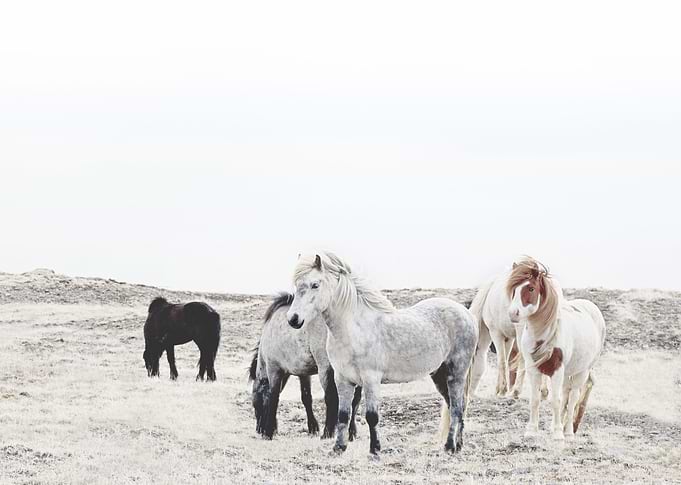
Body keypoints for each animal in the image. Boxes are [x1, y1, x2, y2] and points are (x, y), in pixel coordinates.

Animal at [249, 293, 362, 439]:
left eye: (255, 403)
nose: (259, 429)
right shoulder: (303, 373)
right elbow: (306, 397)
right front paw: (313, 427)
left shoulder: (274, 369)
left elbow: (273, 397)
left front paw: (268, 432)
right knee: (355, 399)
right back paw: (350, 432)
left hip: (326, 368)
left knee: (332, 397)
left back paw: (328, 433)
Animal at [287, 252, 478, 455]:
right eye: (296, 285)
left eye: (315, 284)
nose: (293, 319)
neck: (353, 329)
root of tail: (467, 314)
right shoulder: (342, 379)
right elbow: (343, 415)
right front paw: (339, 447)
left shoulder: (371, 379)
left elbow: (372, 416)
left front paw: (375, 449)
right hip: (439, 375)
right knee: (456, 406)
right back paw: (459, 445)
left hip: (456, 374)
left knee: (456, 408)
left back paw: (449, 446)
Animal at [469, 263, 553, 399]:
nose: (469, 393)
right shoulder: (507, 337)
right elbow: (506, 359)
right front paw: (500, 389)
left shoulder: (496, 332)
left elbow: (502, 360)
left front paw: (503, 390)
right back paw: (543, 392)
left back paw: (517, 390)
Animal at [507, 257, 605, 439]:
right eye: (514, 289)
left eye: (531, 288)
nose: (513, 313)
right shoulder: (534, 369)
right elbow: (535, 399)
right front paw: (531, 430)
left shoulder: (557, 370)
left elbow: (556, 400)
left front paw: (558, 434)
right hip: (568, 373)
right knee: (567, 395)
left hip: (582, 372)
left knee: (572, 398)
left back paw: (568, 432)